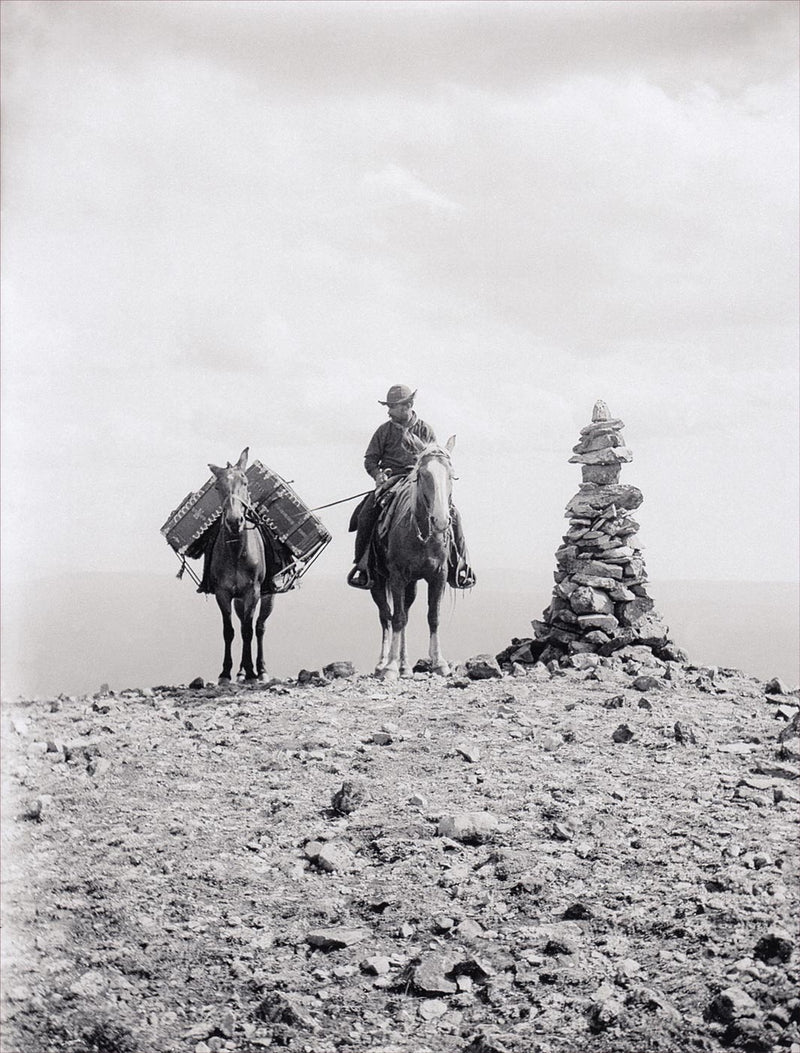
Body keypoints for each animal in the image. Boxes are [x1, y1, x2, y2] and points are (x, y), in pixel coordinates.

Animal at [207, 446, 275, 682]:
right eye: (217, 487)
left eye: (245, 482)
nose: (235, 521)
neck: (237, 552)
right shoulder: (223, 593)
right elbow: (229, 631)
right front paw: (226, 672)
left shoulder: (252, 592)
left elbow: (248, 631)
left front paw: (251, 670)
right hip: (238, 600)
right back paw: (241, 671)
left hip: (267, 596)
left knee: (260, 627)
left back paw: (260, 669)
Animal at [366, 435, 456, 682]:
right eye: (422, 475)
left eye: (451, 475)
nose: (441, 520)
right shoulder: (396, 577)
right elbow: (396, 618)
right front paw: (389, 668)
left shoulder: (439, 576)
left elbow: (433, 616)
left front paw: (439, 663)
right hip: (377, 582)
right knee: (386, 616)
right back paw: (383, 663)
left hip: (412, 584)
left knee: (404, 613)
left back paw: (405, 666)